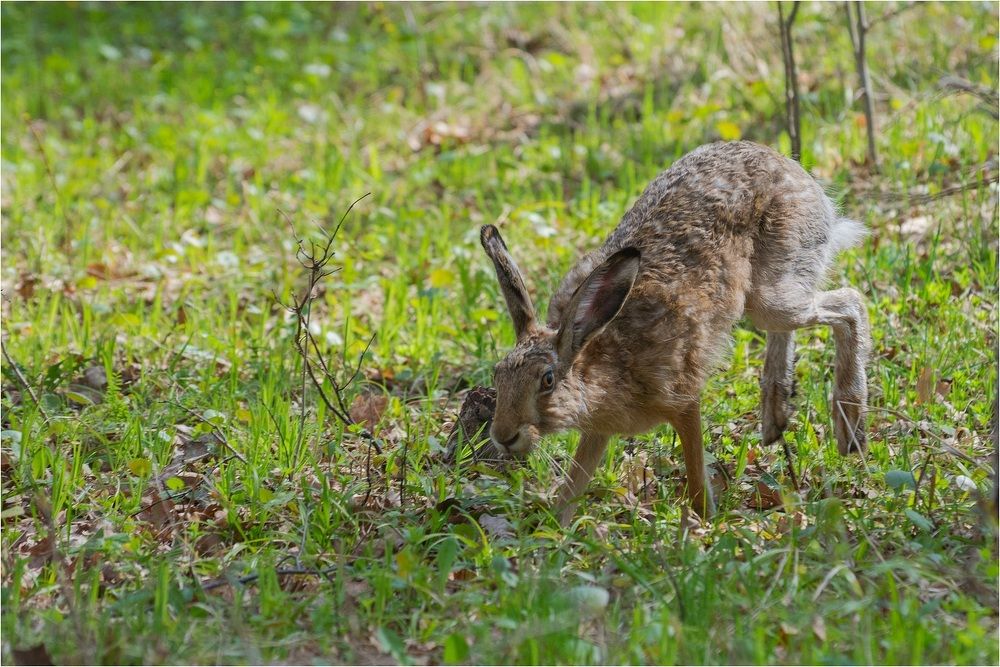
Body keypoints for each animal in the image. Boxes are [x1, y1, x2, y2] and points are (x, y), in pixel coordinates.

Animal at [480, 140, 870, 526]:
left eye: (547, 380)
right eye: (497, 376)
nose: (502, 437)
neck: (595, 355)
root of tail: (793, 168)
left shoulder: (682, 399)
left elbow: (695, 472)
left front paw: (706, 521)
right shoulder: (599, 430)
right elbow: (574, 485)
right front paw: (556, 527)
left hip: (775, 292)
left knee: (850, 304)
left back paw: (849, 425)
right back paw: (776, 413)